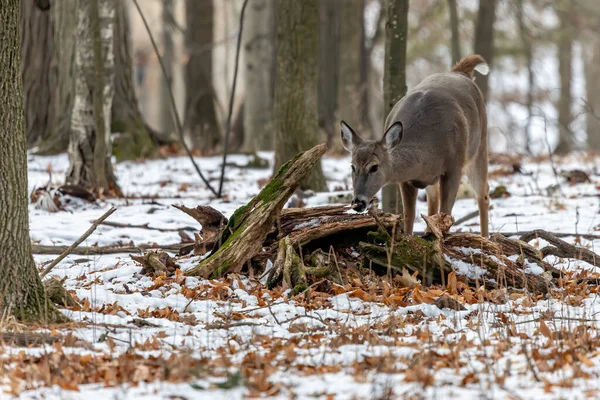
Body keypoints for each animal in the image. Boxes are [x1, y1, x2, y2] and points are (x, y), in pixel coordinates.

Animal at [340, 55, 490, 238]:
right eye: (352, 166)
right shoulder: (407, 179)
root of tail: (460, 71)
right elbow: (409, 215)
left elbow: (446, 213)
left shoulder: (454, 166)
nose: (358, 202)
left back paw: (485, 237)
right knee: (434, 198)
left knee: (483, 193)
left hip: (479, 145)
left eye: (374, 167)